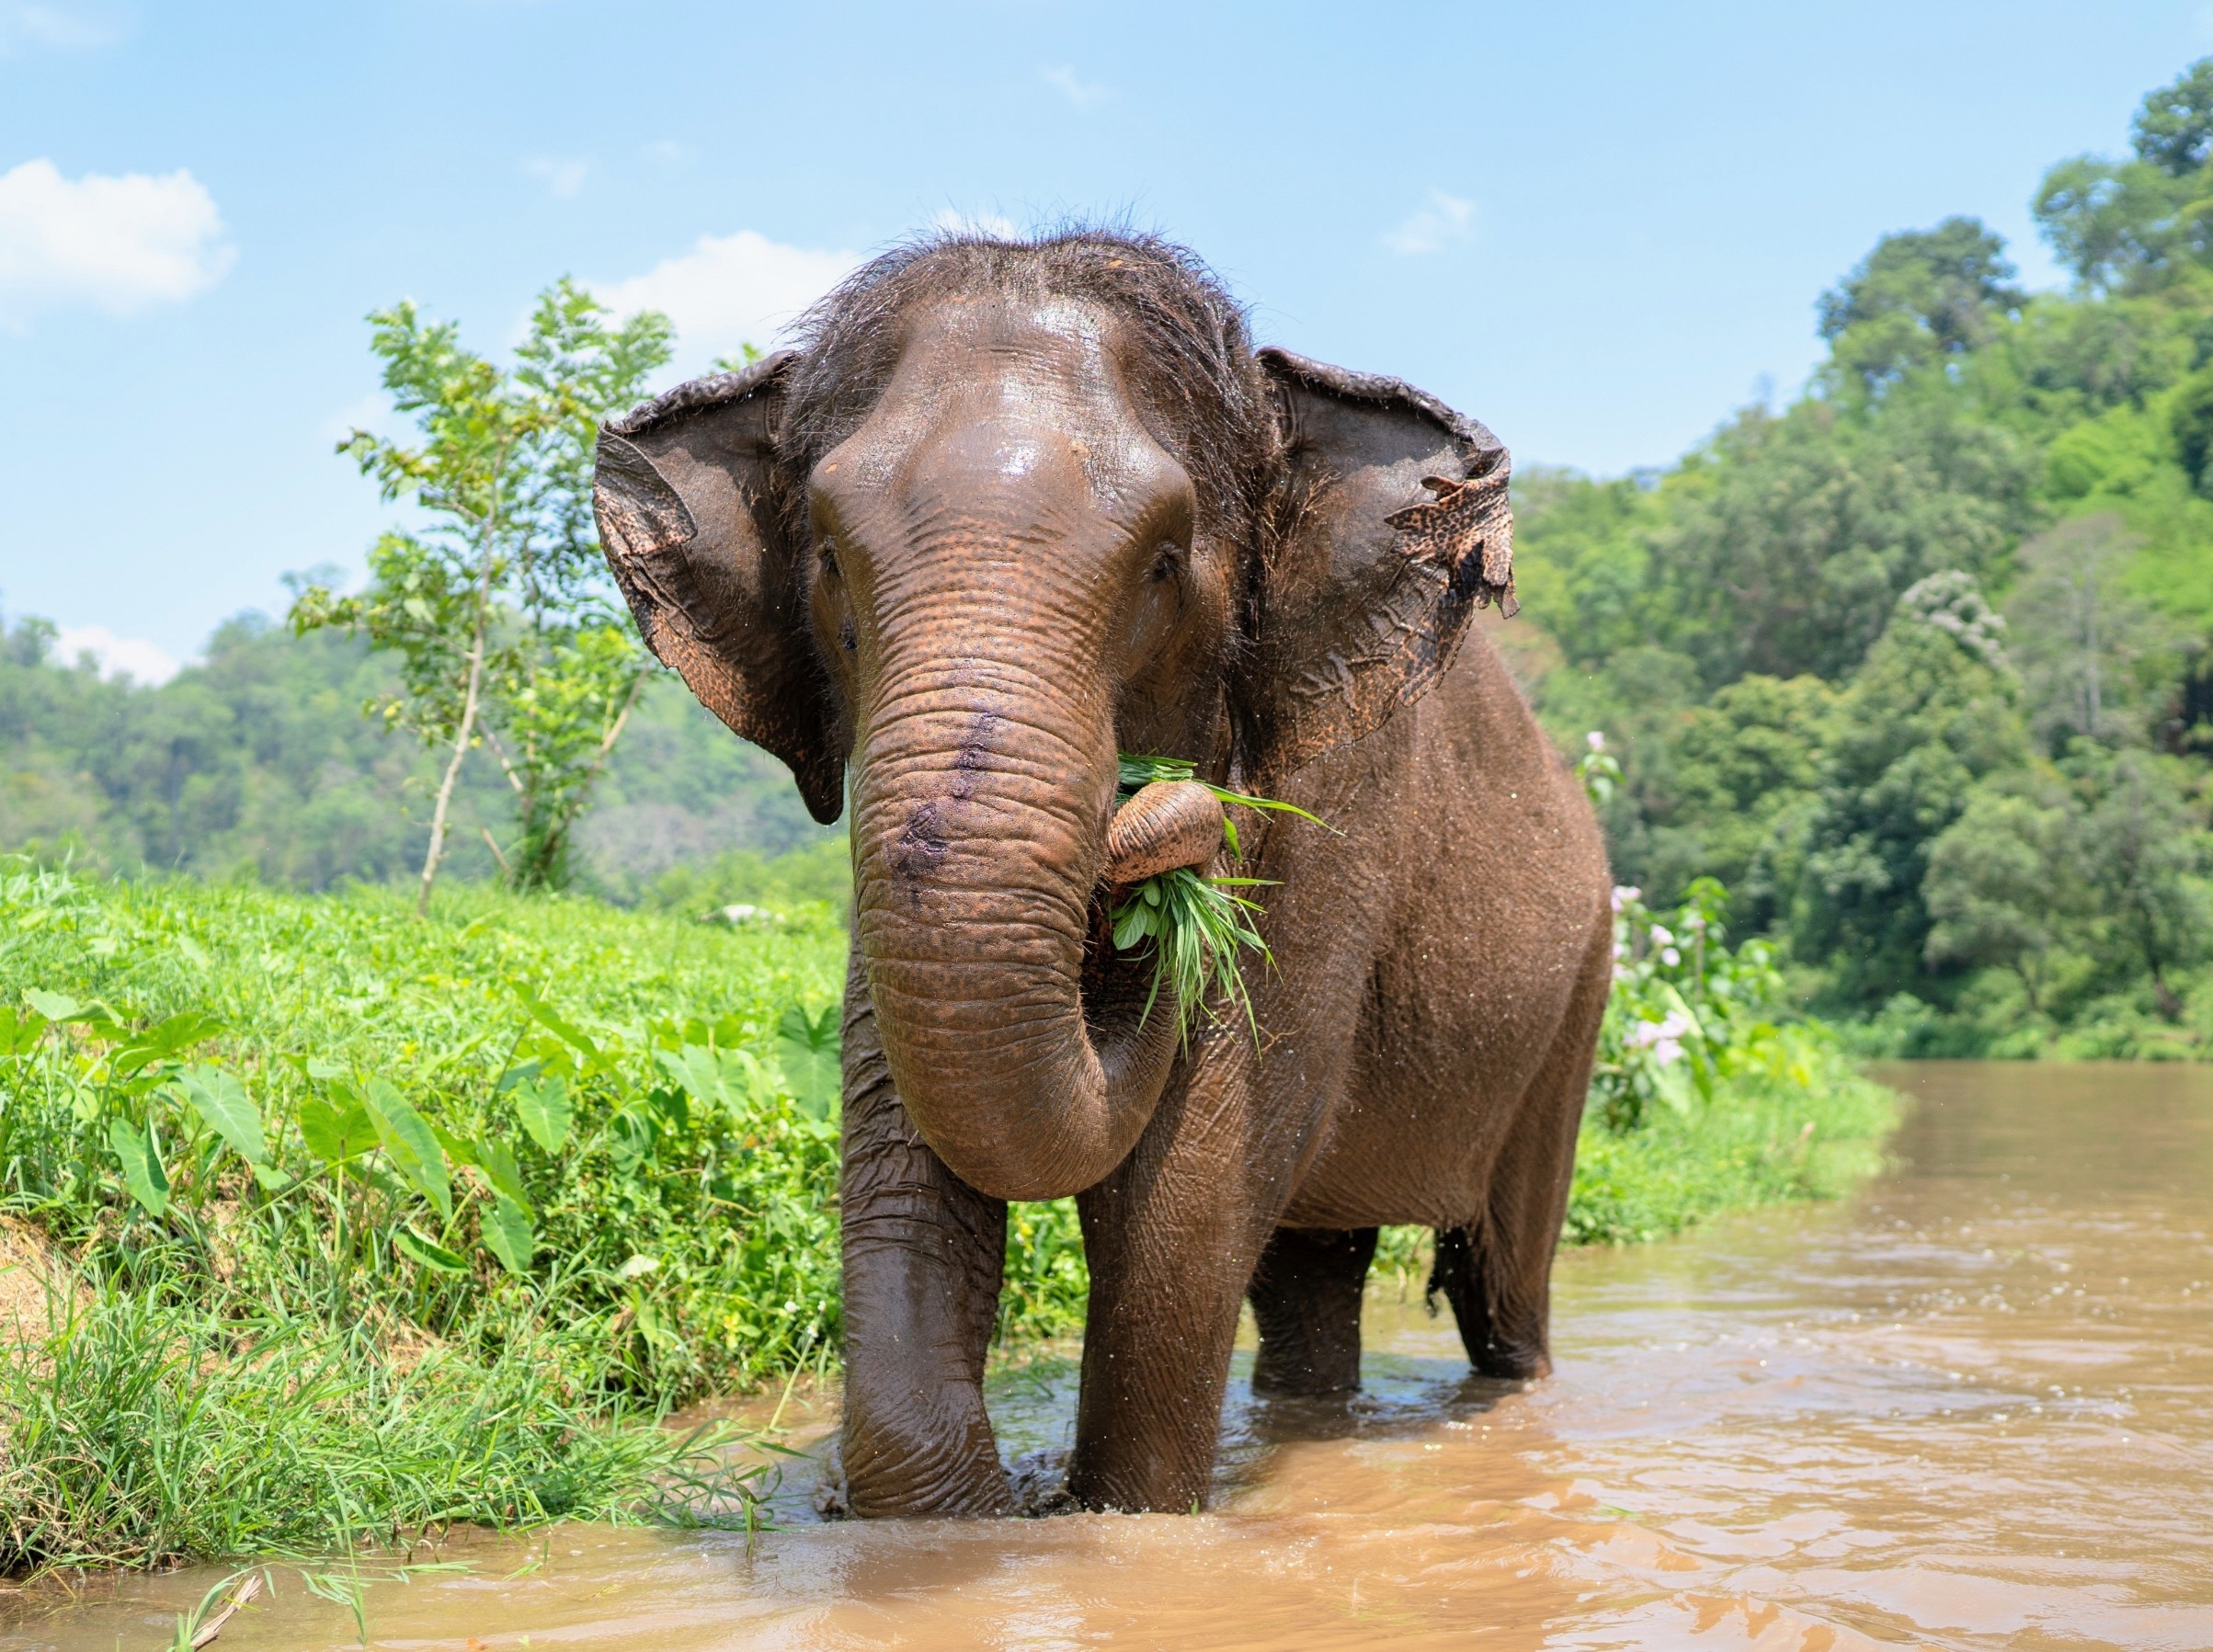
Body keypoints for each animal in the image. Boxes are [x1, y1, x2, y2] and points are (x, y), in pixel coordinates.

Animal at [593, 229, 1612, 1517]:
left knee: (1501, 1281)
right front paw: (968, 1519)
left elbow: (1184, 1196)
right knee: (1311, 1274)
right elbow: (905, 1156)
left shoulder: (1336, 826)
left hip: (1575, 1000)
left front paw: (1116, 1520)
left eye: (1165, 565)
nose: (1156, 829)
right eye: (825, 559)